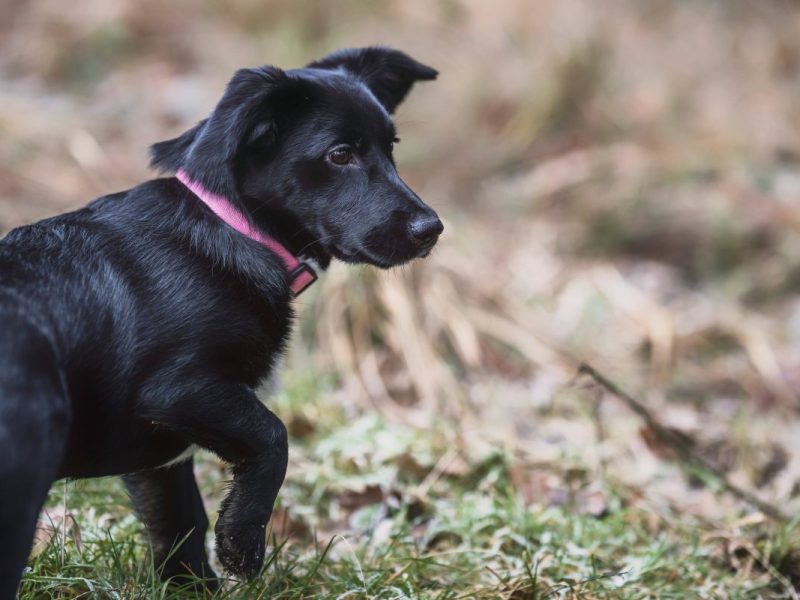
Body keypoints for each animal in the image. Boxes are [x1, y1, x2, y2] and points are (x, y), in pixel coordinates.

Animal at [0, 47, 440, 596]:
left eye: (391, 148)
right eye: (340, 155)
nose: (432, 229)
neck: (234, 227)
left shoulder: (162, 462)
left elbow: (181, 529)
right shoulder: (181, 388)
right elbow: (273, 436)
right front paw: (243, 542)